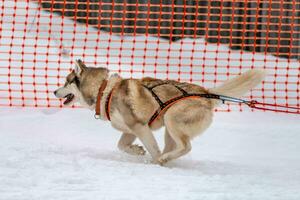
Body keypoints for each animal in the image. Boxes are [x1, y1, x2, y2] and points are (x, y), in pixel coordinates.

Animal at [54, 59, 264, 166]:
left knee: (186, 147)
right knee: (174, 148)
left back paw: (163, 159)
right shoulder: (130, 130)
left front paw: (152, 160)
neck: (104, 90)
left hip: (171, 119)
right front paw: (137, 151)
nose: (55, 92)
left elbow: (151, 148)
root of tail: (205, 93)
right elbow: (121, 145)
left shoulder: (140, 127)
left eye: (65, 82)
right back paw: (166, 159)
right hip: (169, 131)